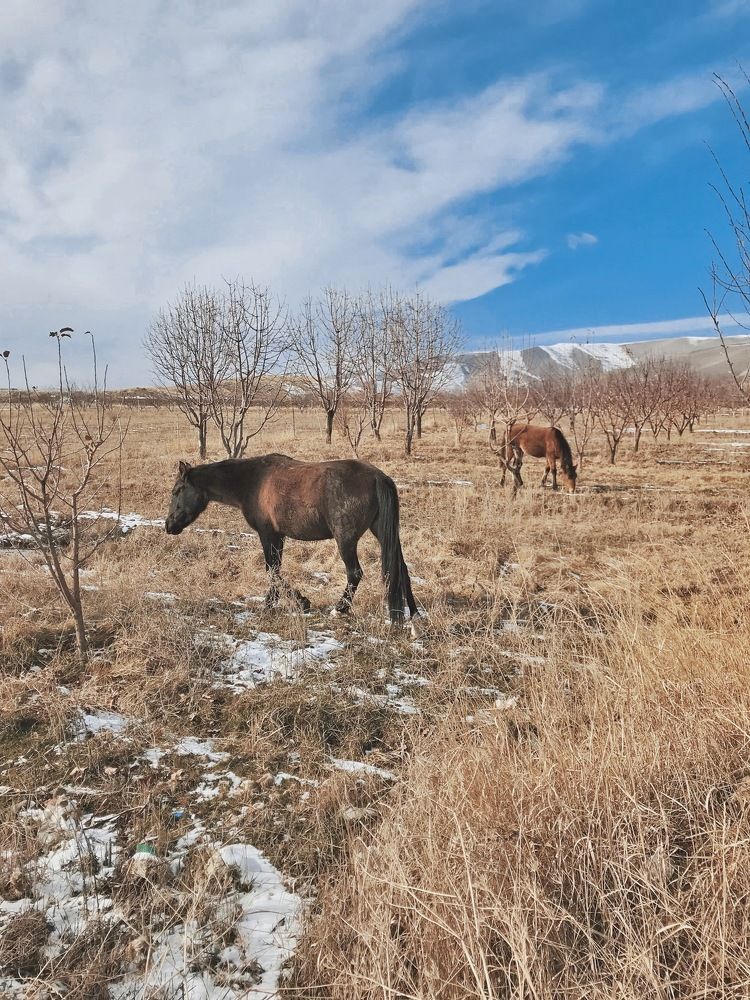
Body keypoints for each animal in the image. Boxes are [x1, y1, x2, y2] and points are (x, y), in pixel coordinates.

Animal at [164, 454, 419, 623]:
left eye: (177, 491)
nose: (169, 525)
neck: (253, 481)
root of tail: (378, 478)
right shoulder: (278, 537)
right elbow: (275, 570)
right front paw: (275, 602)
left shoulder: (268, 534)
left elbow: (272, 570)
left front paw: (293, 602)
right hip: (384, 533)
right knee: (401, 568)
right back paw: (414, 614)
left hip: (345, 540)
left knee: (355, 573)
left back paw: (339, 609)